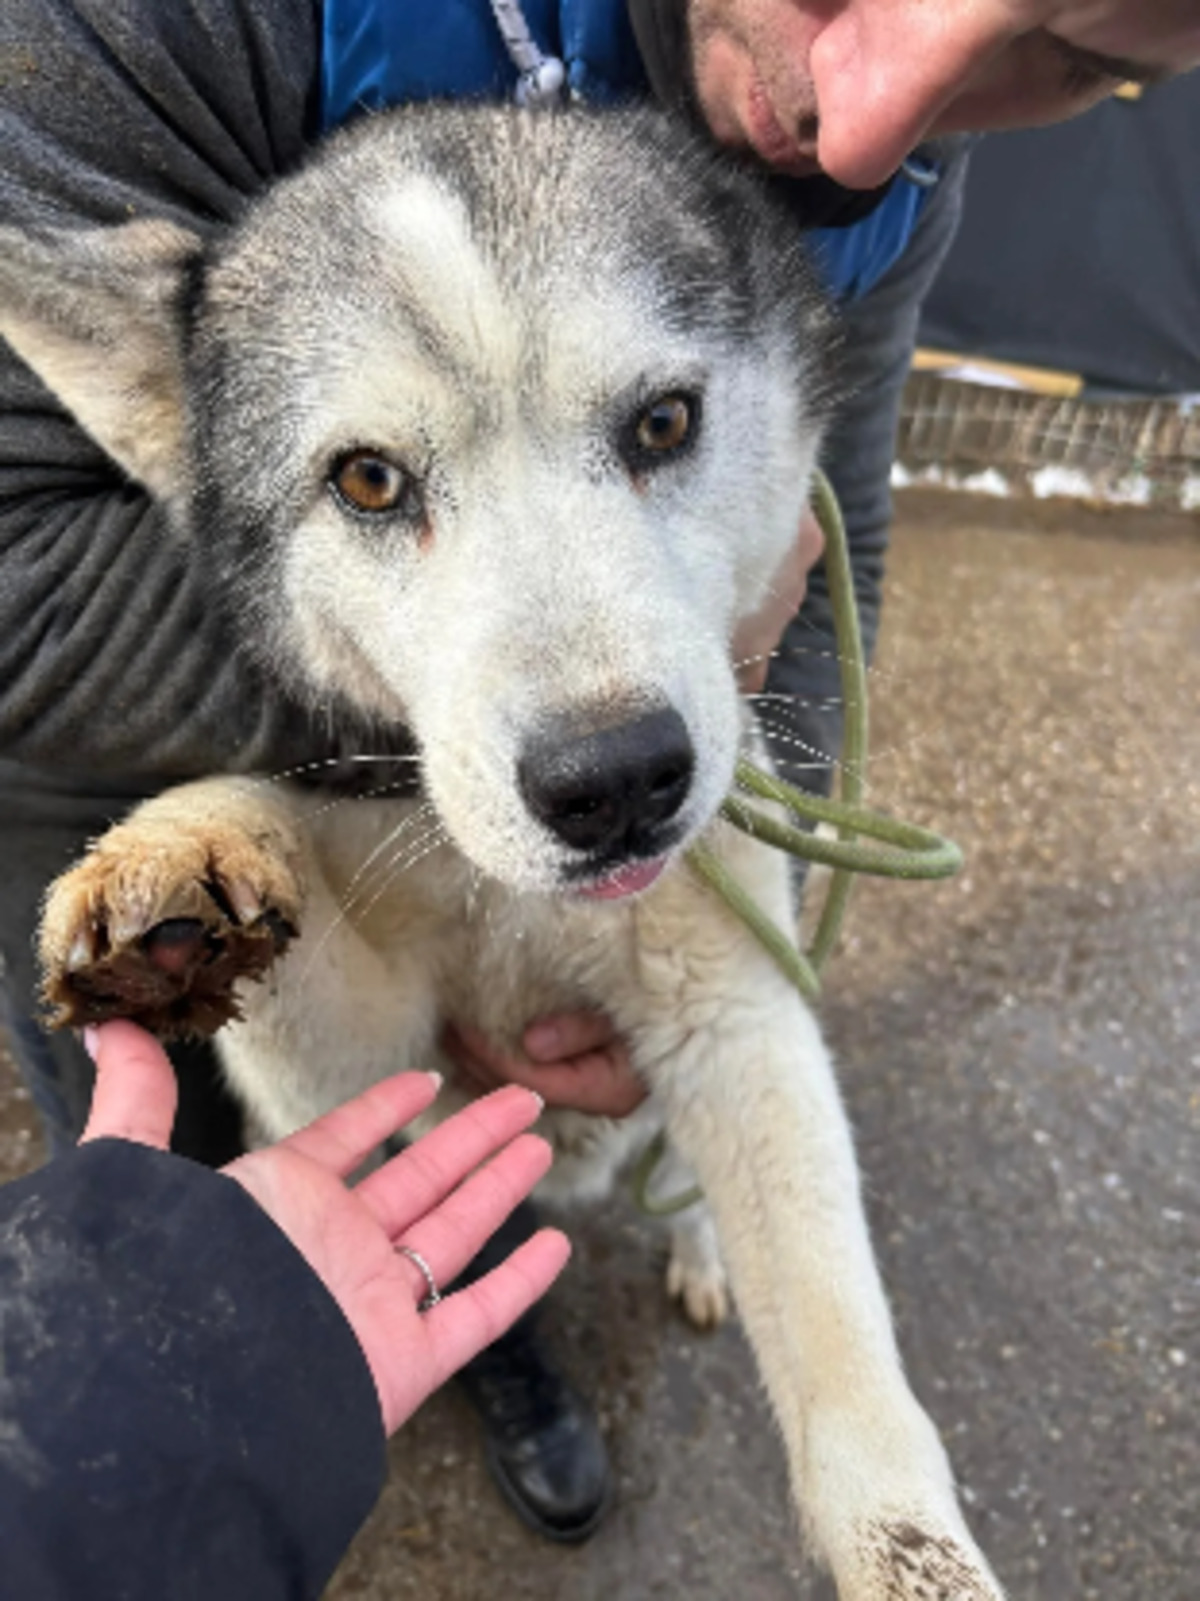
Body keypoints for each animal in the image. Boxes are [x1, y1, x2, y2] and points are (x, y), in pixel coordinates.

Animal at [1, 104, 1002, 1599]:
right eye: (368, 480)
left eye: (663, 421)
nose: (619, 783)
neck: (508, 903)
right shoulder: (368, 1057)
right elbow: (274, 889)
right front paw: (187, 860)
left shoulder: (739, 1018)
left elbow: (856, 1401)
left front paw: (917, 1557)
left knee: (696, 1185)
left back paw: (698, 1249)